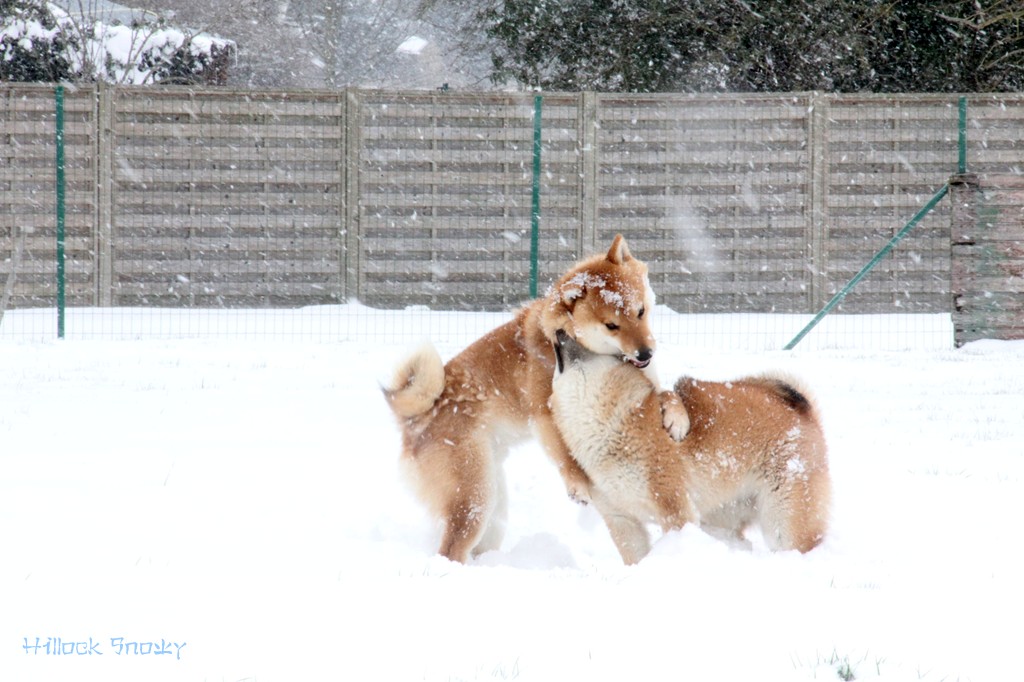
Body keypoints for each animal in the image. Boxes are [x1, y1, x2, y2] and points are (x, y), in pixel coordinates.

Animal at [382, 236, 655, 561]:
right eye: (611, 325)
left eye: (641, 311)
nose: (646, 353)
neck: (564, 336)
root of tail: (417, 418)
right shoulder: (545, 414)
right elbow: (566, 458)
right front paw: (578, 487)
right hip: (474, 499)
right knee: (450, 550)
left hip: (492, 503)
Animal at [548, 329, 827, 561]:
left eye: (590, 349)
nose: (560, 330)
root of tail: (800, 407)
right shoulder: (622, 521)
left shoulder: (673, 507)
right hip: (721, 516)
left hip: (783, 523)